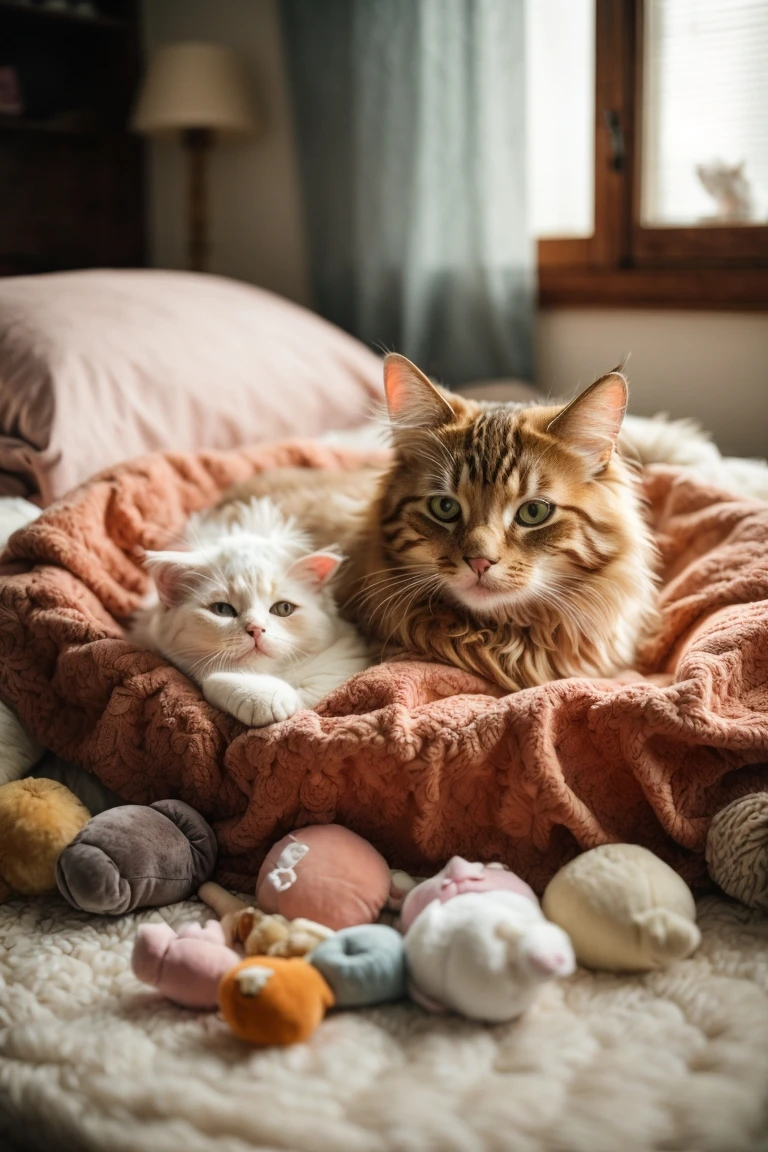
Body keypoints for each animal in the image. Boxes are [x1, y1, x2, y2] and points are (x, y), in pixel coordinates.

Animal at [130, 497, 370, 728]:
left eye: (284, 608)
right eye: (222, 609)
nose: (256, 628)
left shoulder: (340, 666)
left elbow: (309, 694)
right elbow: (214, 679)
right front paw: (262, 698)